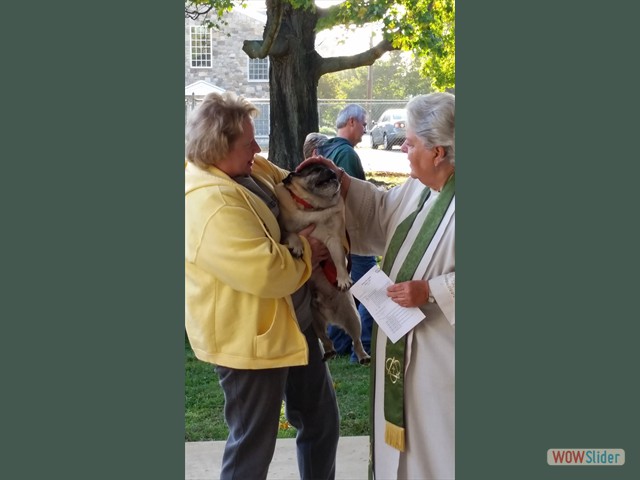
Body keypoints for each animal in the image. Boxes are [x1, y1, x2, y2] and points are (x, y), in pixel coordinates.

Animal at [274, 165, 370, 364]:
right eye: (316, 170)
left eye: (328, 168)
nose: (332, 172)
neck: (311, 209)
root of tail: (331, 316)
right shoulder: (284, 231)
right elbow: (292, 235)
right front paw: (297, 246)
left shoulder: (333, 240)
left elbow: (339, 260)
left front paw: (343, 279)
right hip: (315, 322)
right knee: (325, 339)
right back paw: (329, 352)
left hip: (352, 317)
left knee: (356, 339)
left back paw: (363, 355)